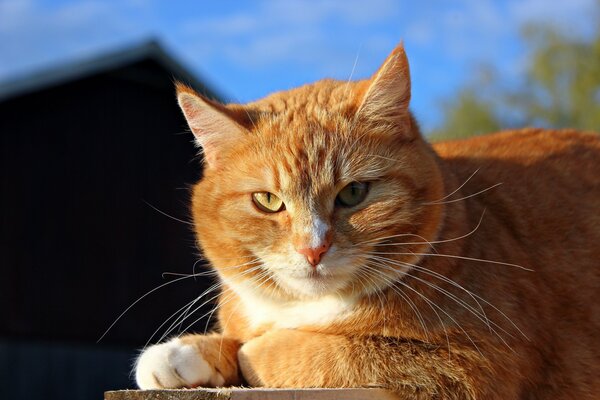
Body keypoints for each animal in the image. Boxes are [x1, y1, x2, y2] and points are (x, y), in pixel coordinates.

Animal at [135, 42, 600, 398]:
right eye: (267, 200)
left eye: (353, 193)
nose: (313, 248)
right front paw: (185, 353)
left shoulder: (472, 362)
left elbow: (303, 351)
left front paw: (250, 349)